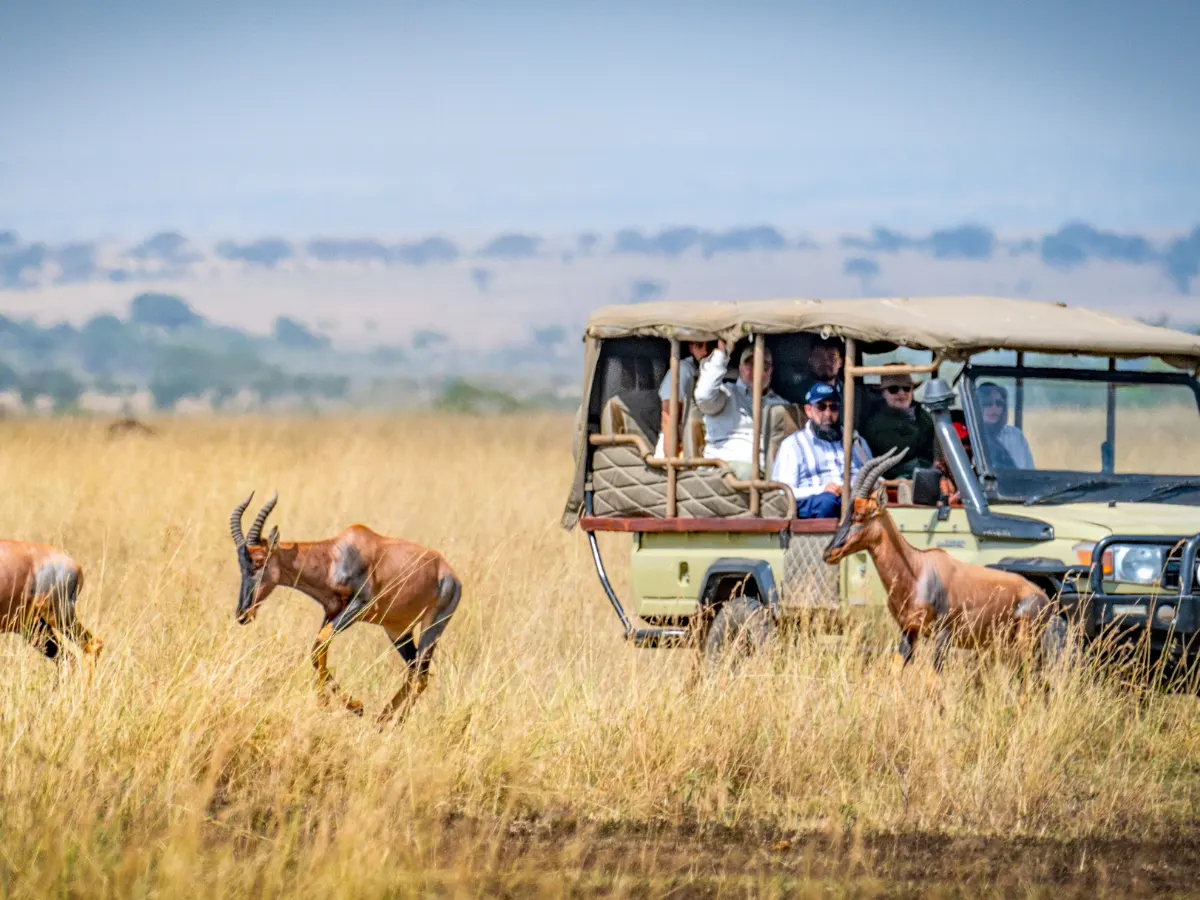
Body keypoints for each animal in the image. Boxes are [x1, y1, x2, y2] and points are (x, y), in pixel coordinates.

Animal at [229, 492, 462, 725]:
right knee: (414, 671)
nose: (243, 613)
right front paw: (345, 705)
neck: (336, 555)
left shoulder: (359, 605)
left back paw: (396, 725)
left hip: (433, 626)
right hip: (397, 630)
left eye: (259, 561)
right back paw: (381, 721)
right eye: (240, 564)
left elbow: (321, 642)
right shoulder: (331, 611)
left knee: (421, 676)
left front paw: (341, 704)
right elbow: (317, 648)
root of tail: (450, 574)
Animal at [822, 446, 1059, 674]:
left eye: (861, 515)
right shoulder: (909, 631)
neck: (918, 569)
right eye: (847, 513)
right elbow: (895, 672)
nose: (828, 553)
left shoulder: (942, 635)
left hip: (1027, 642)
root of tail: (1044, 599)